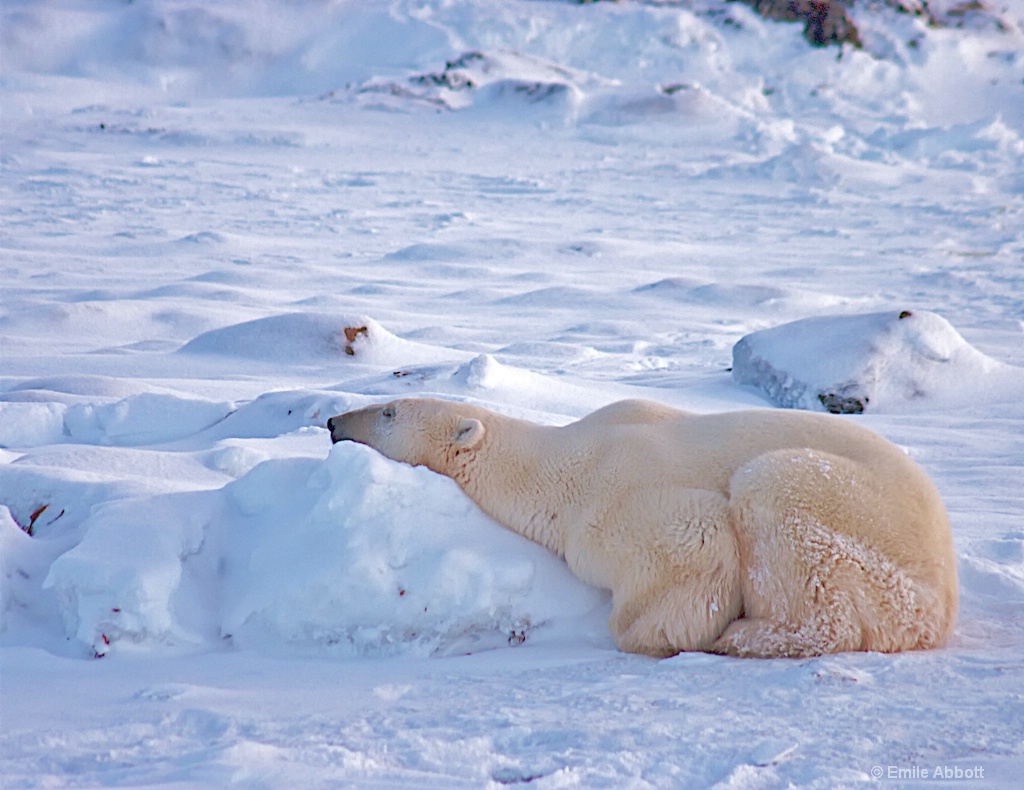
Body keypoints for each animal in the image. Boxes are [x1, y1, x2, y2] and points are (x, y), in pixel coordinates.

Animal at [327, 395, 958, 659]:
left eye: (387, 411)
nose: (333, 420)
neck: (561, 459)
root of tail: (944, 601)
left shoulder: (607, 501)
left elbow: (696, 545)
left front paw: (665, 633)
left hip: (865, 534)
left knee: (775, 492)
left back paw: (746, 637)